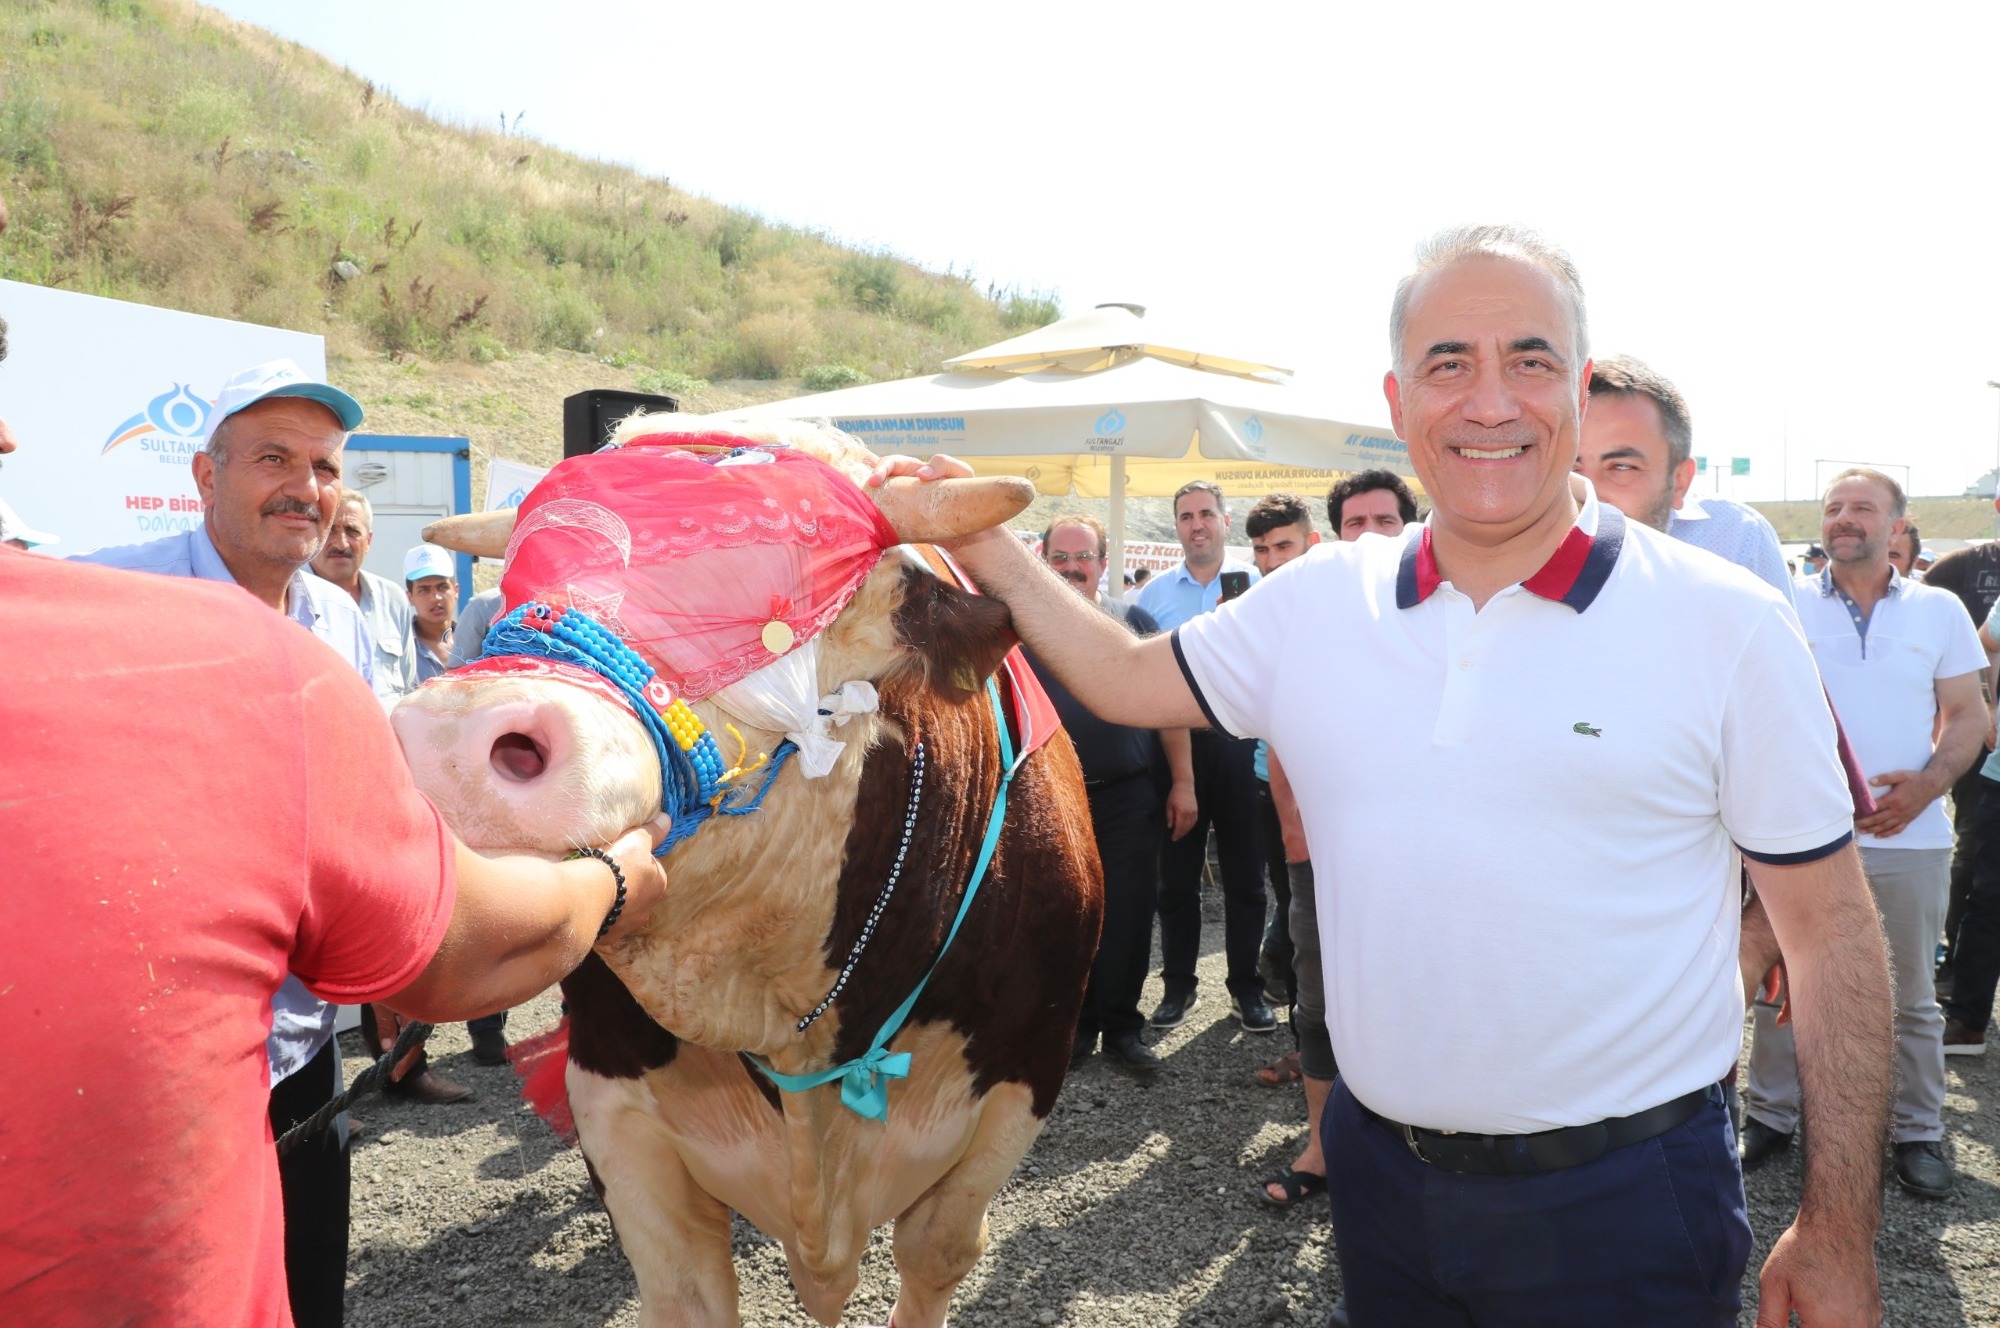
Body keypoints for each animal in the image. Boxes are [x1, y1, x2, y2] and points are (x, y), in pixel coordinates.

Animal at [392, 418, 1104, 1328]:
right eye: (514, 586)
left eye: (771, 619)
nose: (446, 740)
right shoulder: (618, 1114)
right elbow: (684, 1282)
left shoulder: (1020, 1086)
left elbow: (939, 1249)